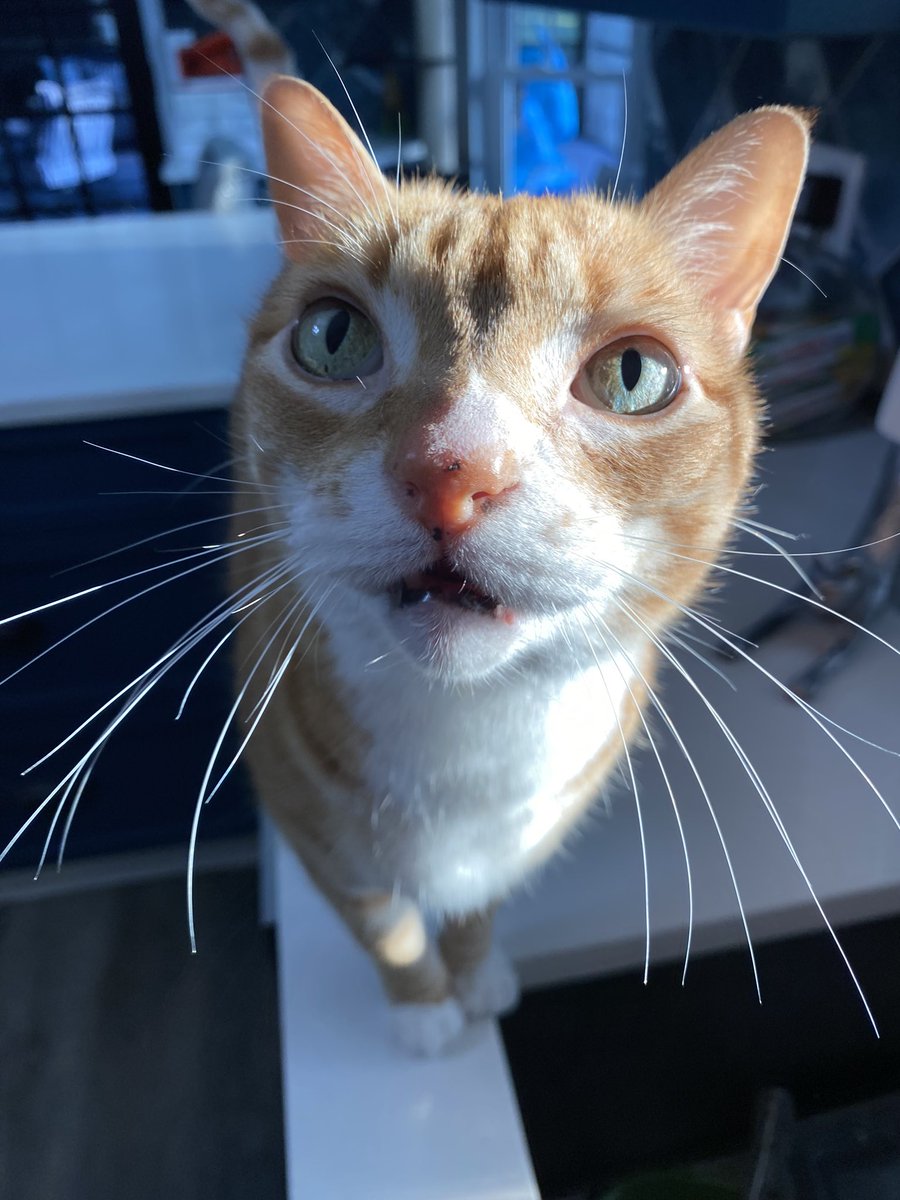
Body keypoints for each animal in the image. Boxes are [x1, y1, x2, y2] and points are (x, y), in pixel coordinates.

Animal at [224, 75, 811, 1056]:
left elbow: (476, 906)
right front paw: (423, 1006)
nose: (450, 472)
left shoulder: (518, 839)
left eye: (632, 375)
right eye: (334, 336)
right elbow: (381, 921)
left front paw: (473, 973)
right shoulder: (309, 823)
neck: (464, 737)